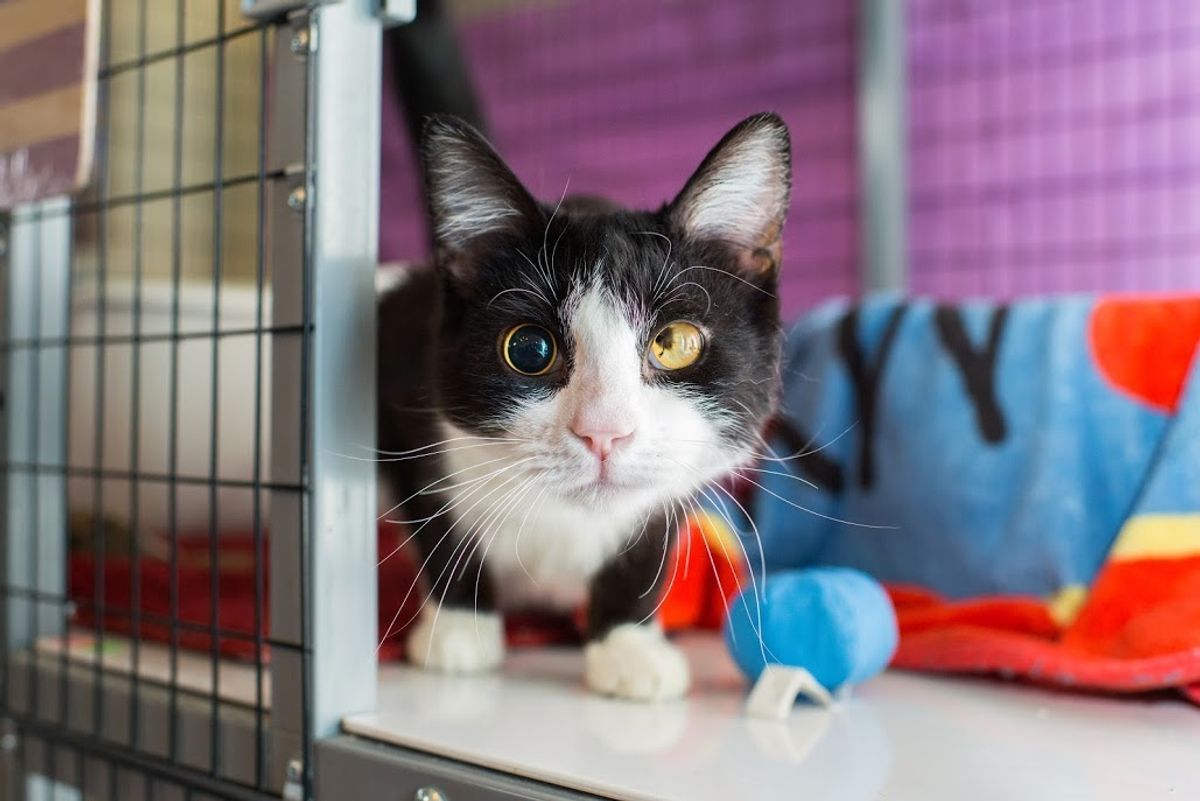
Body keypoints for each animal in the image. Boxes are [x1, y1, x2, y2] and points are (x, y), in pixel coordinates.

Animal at [374, 113, 787, 700]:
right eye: (529, 349)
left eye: (675, 343)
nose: (604, 432)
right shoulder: (404, 388)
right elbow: (434, 512)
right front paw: (460, 628)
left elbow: (650, 538)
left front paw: (628, 645)